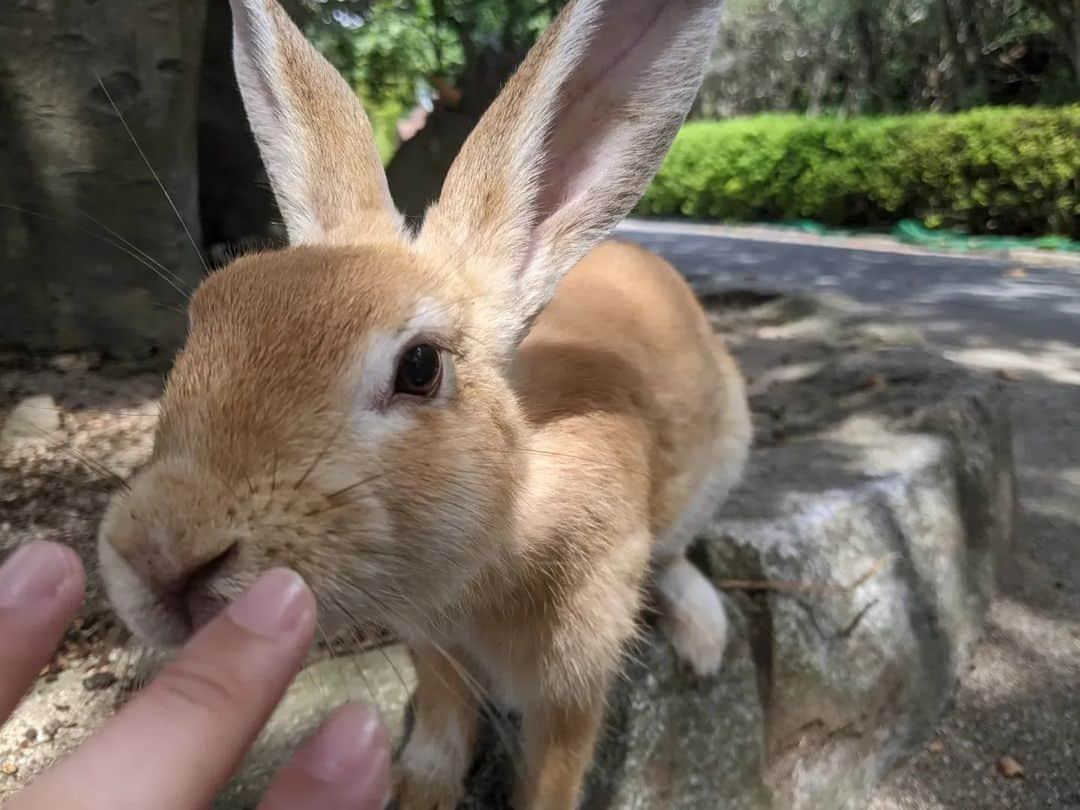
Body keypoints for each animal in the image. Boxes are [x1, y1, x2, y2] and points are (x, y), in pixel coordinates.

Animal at [97, 0, 747, 807]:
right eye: (208, 312)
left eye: (419, 367)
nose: (157, 555)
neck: (504, 528)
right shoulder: (431, 637)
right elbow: (441, 711)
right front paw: (417, 786)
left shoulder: (573, 681)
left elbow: (553, 776)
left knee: (679, 550)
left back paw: (704, 639)